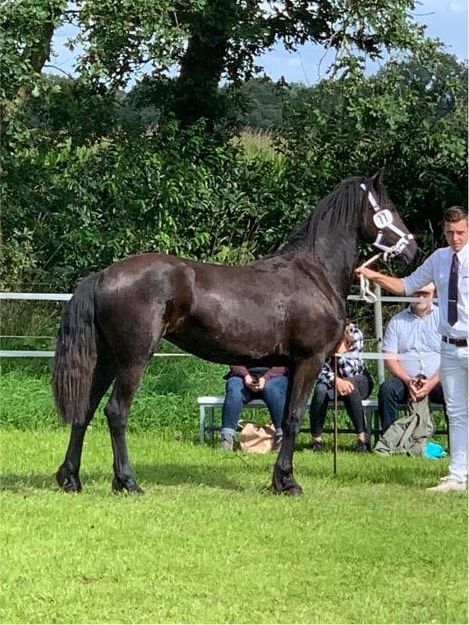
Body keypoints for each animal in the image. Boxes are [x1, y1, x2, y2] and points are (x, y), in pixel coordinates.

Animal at [53, 171, 414, 492]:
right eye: (389, 208)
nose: (413, 249)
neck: (314, 272)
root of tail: (103, 276)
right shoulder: (309, 361)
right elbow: (294, 418)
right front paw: (289, 483)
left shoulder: (292, 365)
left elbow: (285, 419)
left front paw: (279, 481)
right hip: (133, 359)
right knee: (116, 413)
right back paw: (127, 482)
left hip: (107, 359)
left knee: (84, 410)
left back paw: (70, 479)